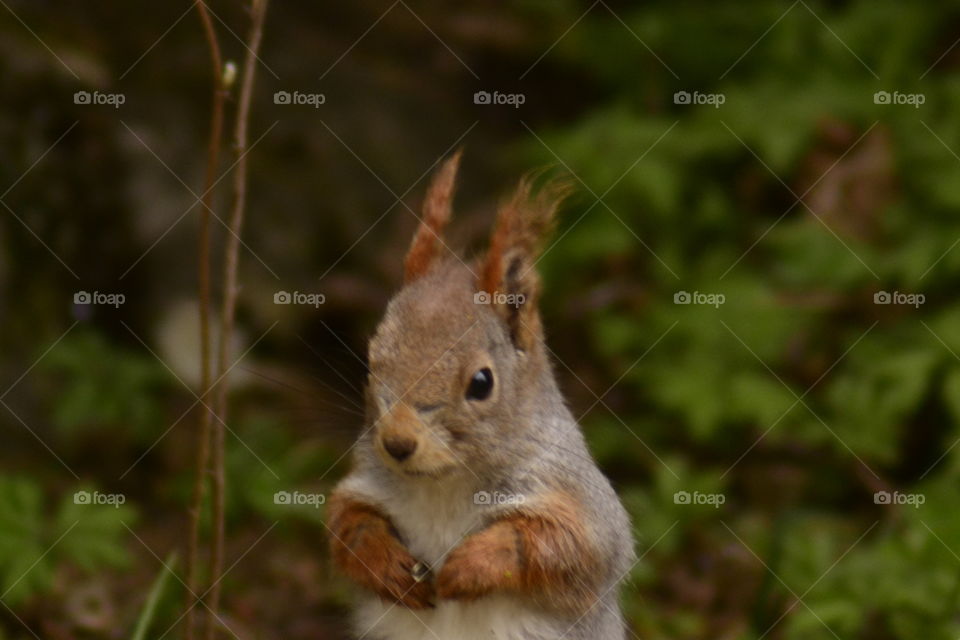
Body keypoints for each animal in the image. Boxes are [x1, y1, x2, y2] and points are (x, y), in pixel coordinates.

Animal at [327, 151, 635, 640]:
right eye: (371, 362)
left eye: (481, 383)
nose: (397, 443)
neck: (444, 484)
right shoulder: (367, 481)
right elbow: (346, 524)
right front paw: (385, 563)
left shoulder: (578, 499)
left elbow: (569, 546)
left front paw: (472, 565)